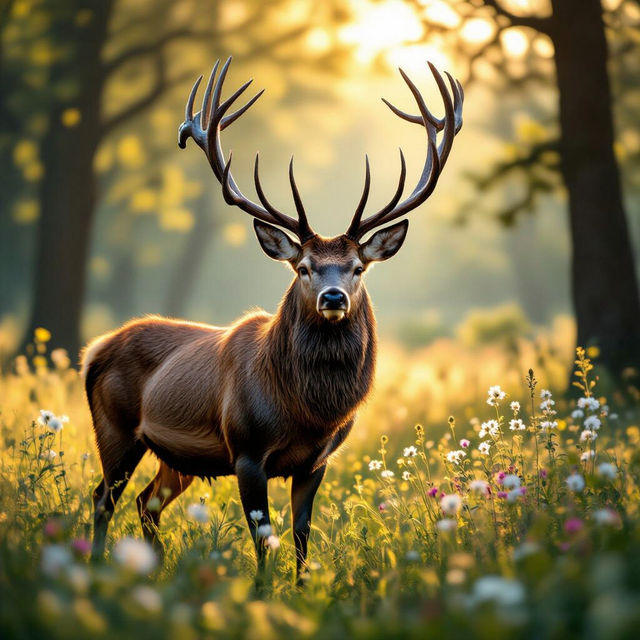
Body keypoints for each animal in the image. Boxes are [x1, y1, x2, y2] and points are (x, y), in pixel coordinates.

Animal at [81, 57, 463, 581]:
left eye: (357, 267)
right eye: (303, 267)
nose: (332, 297)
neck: (305, 411)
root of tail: (94, 350)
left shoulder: (317, 462)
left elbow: (301, 532)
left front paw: (303, 588)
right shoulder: (245, 450)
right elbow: (262, 535)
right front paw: (263, 589)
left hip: (175, 458)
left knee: (146, 502)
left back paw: (152, 572)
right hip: (114, 426)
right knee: (103, 497)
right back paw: (98, 569)